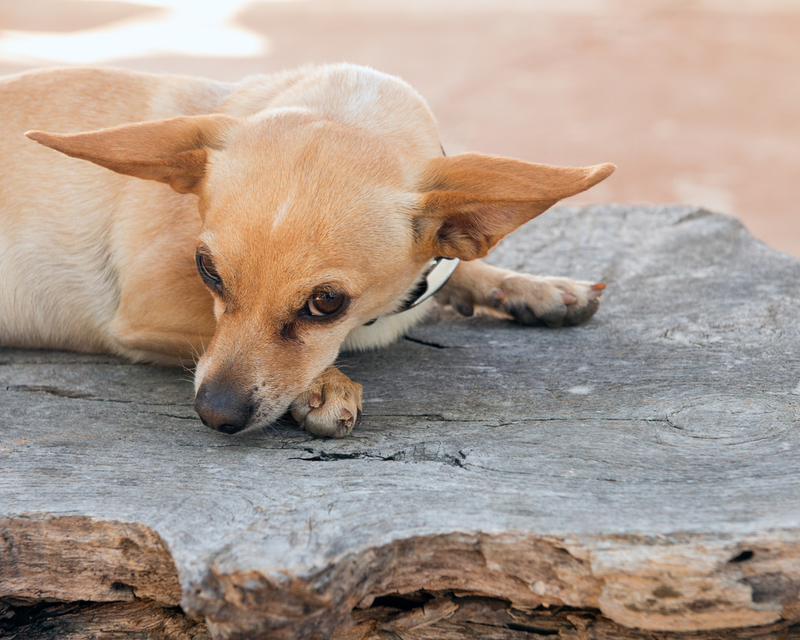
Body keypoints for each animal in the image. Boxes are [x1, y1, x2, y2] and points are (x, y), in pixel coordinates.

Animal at [0, 62, 612, 438]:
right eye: (207, 270)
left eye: (327, 303)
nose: (214, 414)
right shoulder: (146, 308)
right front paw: (325, 384)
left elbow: (462, 264)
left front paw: (532, 287)